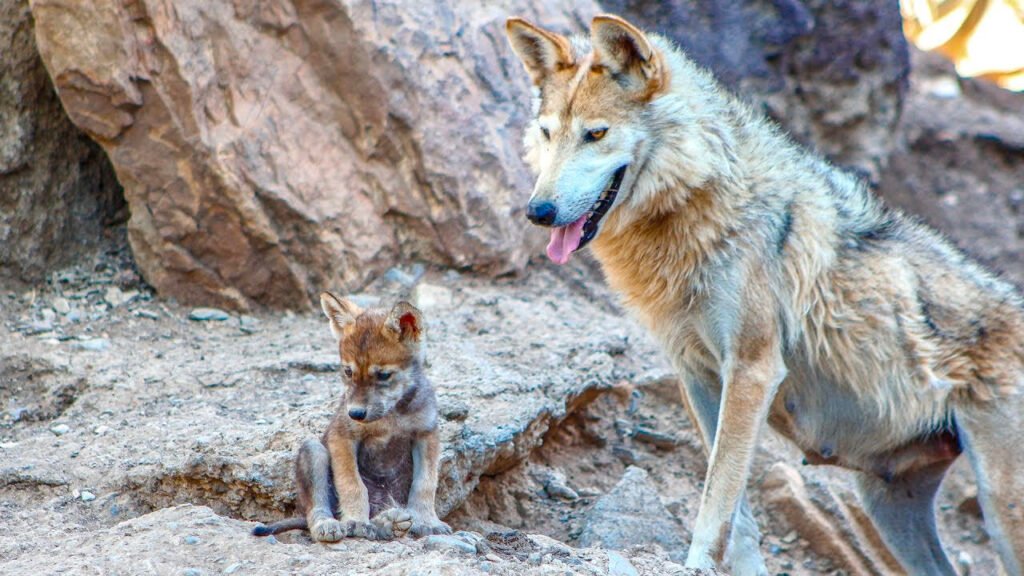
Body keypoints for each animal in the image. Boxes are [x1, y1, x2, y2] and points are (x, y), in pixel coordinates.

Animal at [252, 294, 451, 541]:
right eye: (348, 372)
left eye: (383, 375)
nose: (355, 413)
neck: (391, 416)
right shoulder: (343, 437)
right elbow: (352, 484)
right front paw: (355, 521)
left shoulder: (426, 435)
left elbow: (425, 483)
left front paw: (427, 521)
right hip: (313, 451)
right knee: (316, 510)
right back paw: (331, 525)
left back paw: (389, 522)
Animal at [506, 14, 1024, 576]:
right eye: (548, 132)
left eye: (595, 134)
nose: (538, 212)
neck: (702, 205)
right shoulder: (698, 376)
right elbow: (737, 514)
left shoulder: (752, 370)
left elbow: (718, 495)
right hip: (888, 511)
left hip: (999, 510)